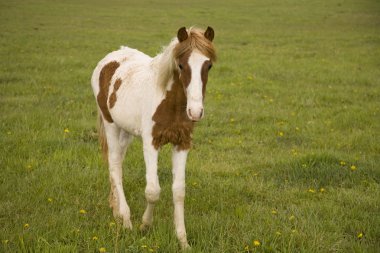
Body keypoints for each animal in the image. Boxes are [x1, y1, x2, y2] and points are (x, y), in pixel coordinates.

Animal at [91, 26, 217, 248]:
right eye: (181, 65)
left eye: (208, 65)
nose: (195, 112)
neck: (171, 103)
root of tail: (108, 60)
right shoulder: (151, 143)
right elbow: (152, 190)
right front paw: (144, 225)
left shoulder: (182, 143)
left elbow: (179, 191)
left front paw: (182, 240)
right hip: (110, 125)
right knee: (114, 166)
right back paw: (125, 219)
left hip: (125, 131)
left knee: (117, 163)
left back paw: (116, 210)